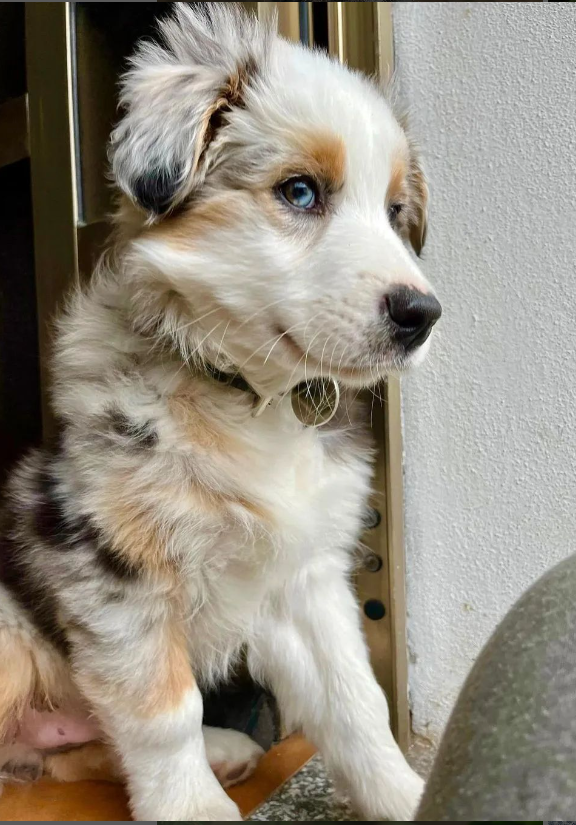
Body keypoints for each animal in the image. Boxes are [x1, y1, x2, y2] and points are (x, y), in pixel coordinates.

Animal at [0, 4, 441, 820]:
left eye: (396, 212)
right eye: (299, 192)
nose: (423, 315)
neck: (248, 395)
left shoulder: (306, 577)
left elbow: (356, 701)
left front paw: (404, 794)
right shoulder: (116, 570)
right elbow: (162, 710)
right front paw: (193, 808)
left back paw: (229, 750)